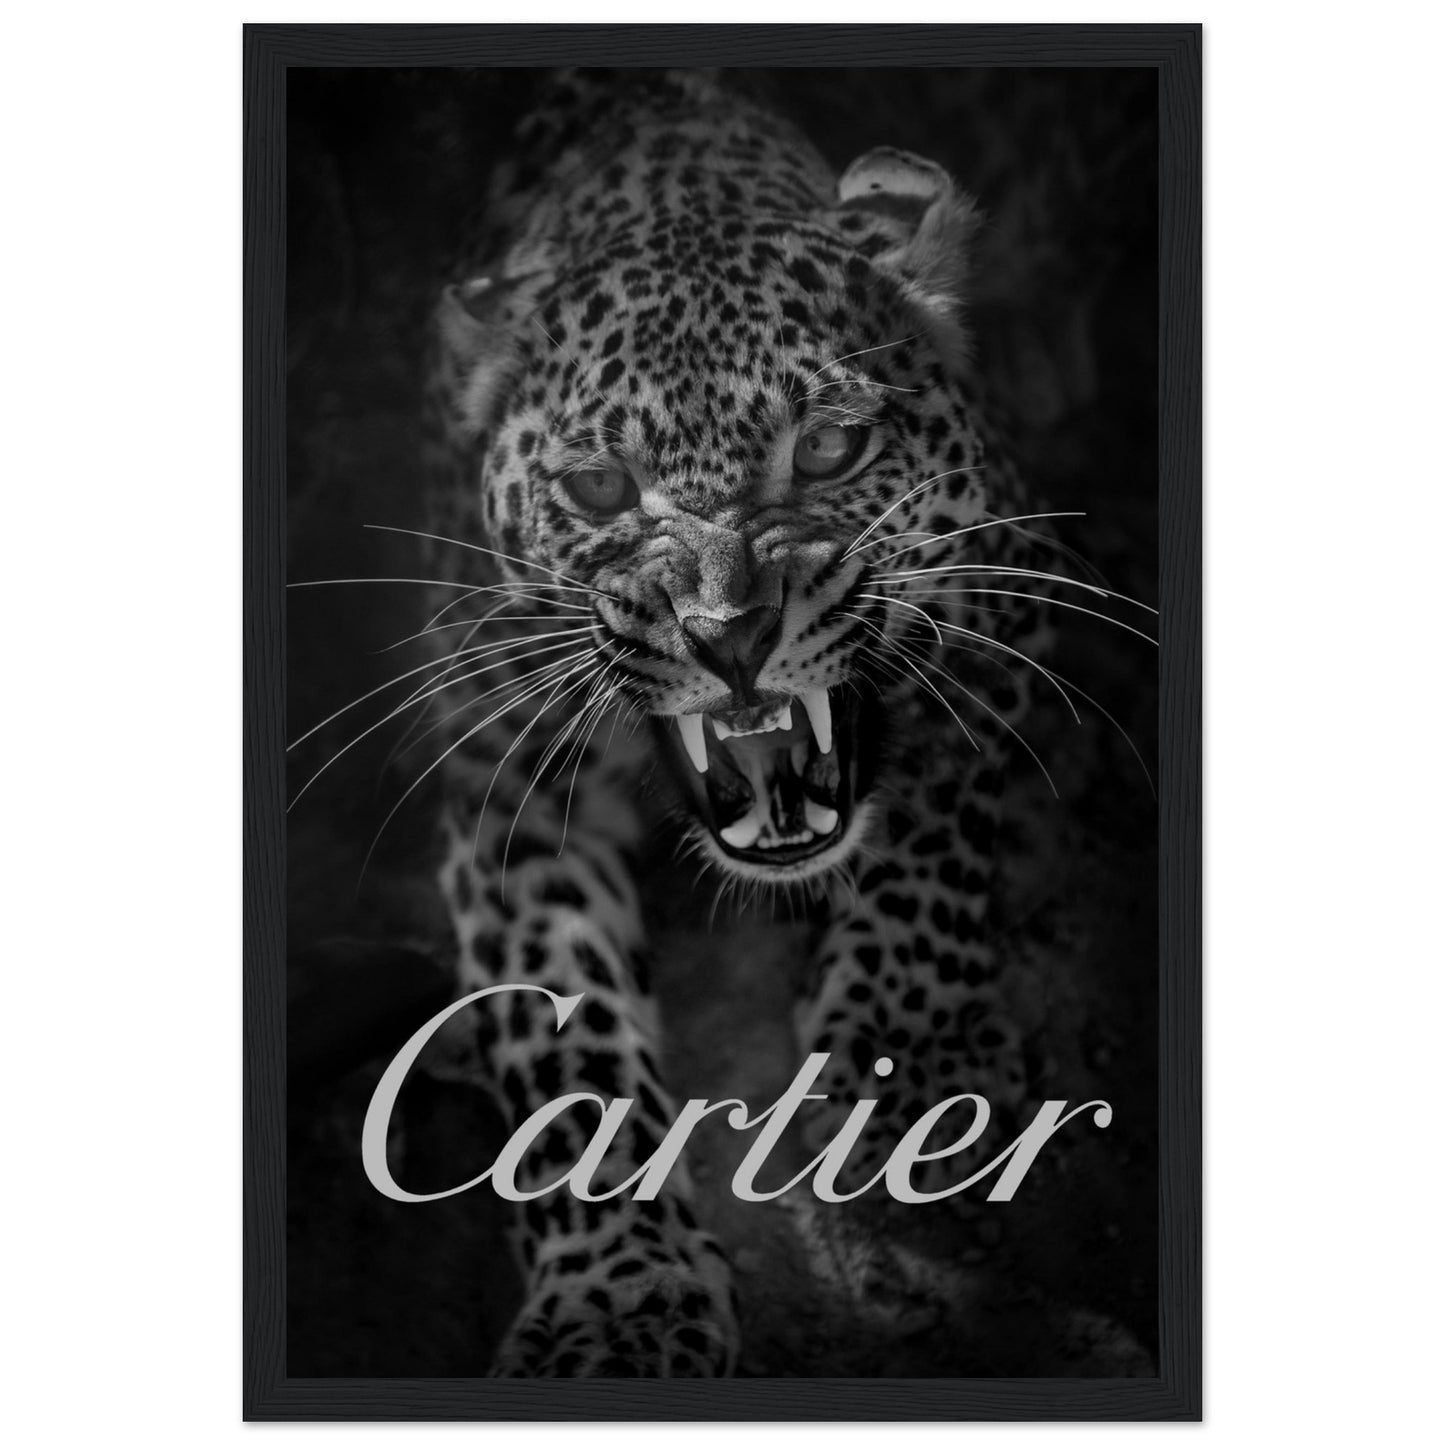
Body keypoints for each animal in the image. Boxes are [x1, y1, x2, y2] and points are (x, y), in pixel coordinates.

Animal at [375, 68, 1141, 1378]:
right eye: (597, 488)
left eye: (828, 445)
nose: (727, 634)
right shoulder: (500, 764)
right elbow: (555, 1030)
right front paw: (615, 1301)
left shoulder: (1003, 601)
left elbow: (929, 832)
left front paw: (909, 1066)